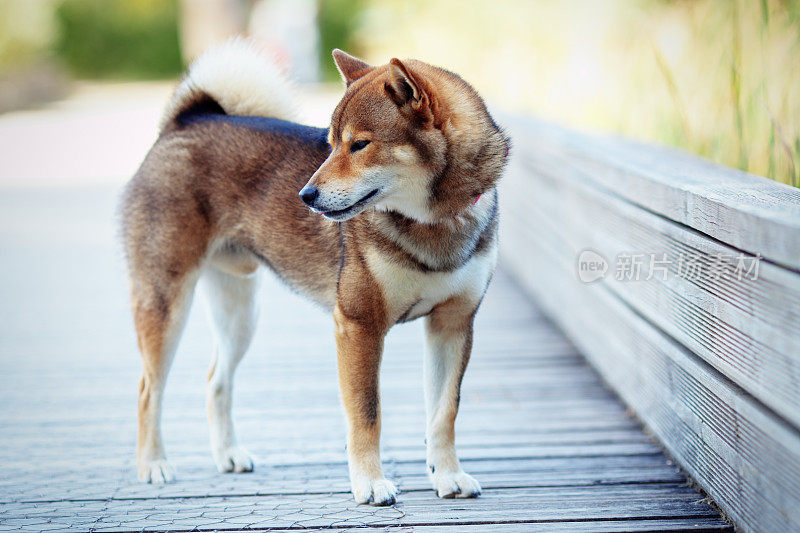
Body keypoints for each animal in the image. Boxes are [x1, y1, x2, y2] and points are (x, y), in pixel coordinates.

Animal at [122, 37, 510, 502]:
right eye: (330, 144)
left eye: (359, 145)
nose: (305, 195)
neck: (433, 222)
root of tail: (186, 121)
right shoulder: (359, 325)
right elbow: (366, 415)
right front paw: (370, 483)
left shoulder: (452, 325)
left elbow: (444, 412)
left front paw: (448, 475)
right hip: (168, 303)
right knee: (148, 390)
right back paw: (153, 464)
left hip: (240, 314)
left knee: (216, 380)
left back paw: (228, 454)